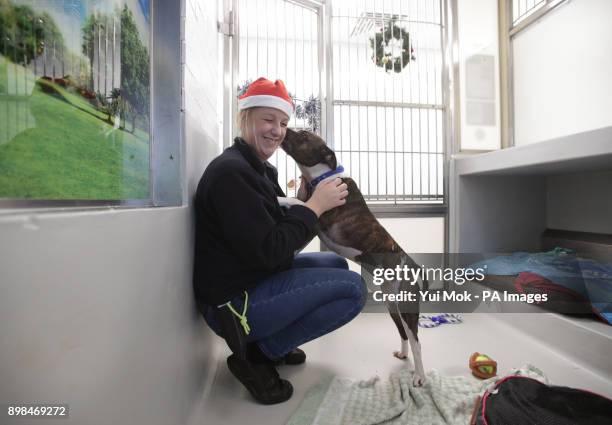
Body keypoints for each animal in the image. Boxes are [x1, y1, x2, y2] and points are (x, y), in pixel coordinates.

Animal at [280, 127, 426, 386]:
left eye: (304, 135)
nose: (285, 127)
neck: (322, 177)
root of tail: (411, 264)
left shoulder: (319, 218)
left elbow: (295, 201)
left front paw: (280, 199)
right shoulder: (311, 227)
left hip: (407, 307)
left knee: (417, 341)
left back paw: (419, 375)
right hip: (392, 304)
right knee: (403, 333)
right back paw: (403, 354)